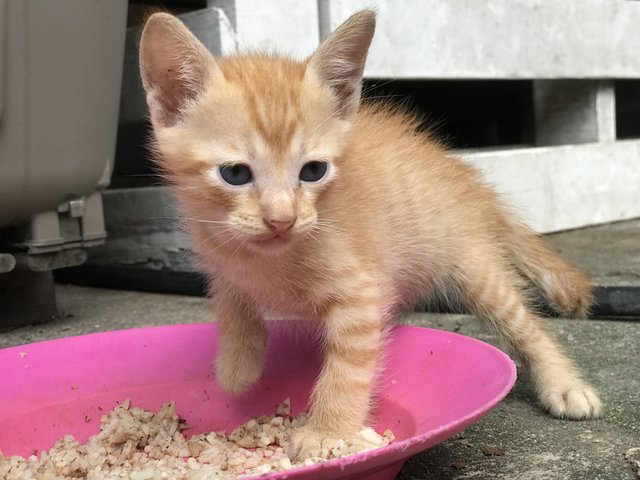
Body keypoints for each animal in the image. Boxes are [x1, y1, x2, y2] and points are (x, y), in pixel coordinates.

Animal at [139, 9, 600, 460]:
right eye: (235, 174)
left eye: (314, 171)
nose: (282, 219)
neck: (264, 260)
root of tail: (469, 183)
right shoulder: (221, 263)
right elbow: (232, 301)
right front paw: (237, 365)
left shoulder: (360, 295)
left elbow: (349, 369)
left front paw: (327, 433)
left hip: (473, 266)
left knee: (527, 325)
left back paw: (563, 383)